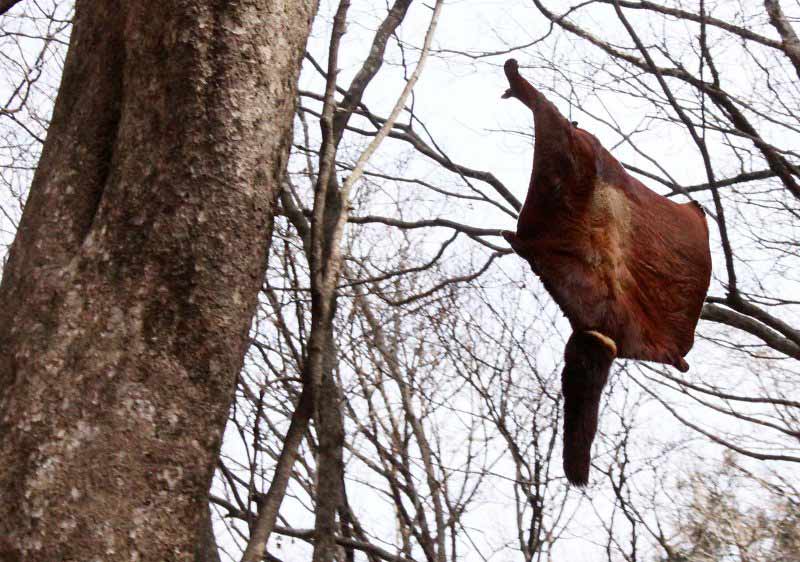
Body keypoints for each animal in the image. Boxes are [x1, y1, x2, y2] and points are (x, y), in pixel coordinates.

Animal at [500, 59, 712, 484]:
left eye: (573, 372)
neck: (606, 319)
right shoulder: (655, 341)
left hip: (566, 160)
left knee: (551, 121)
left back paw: (518, 82)